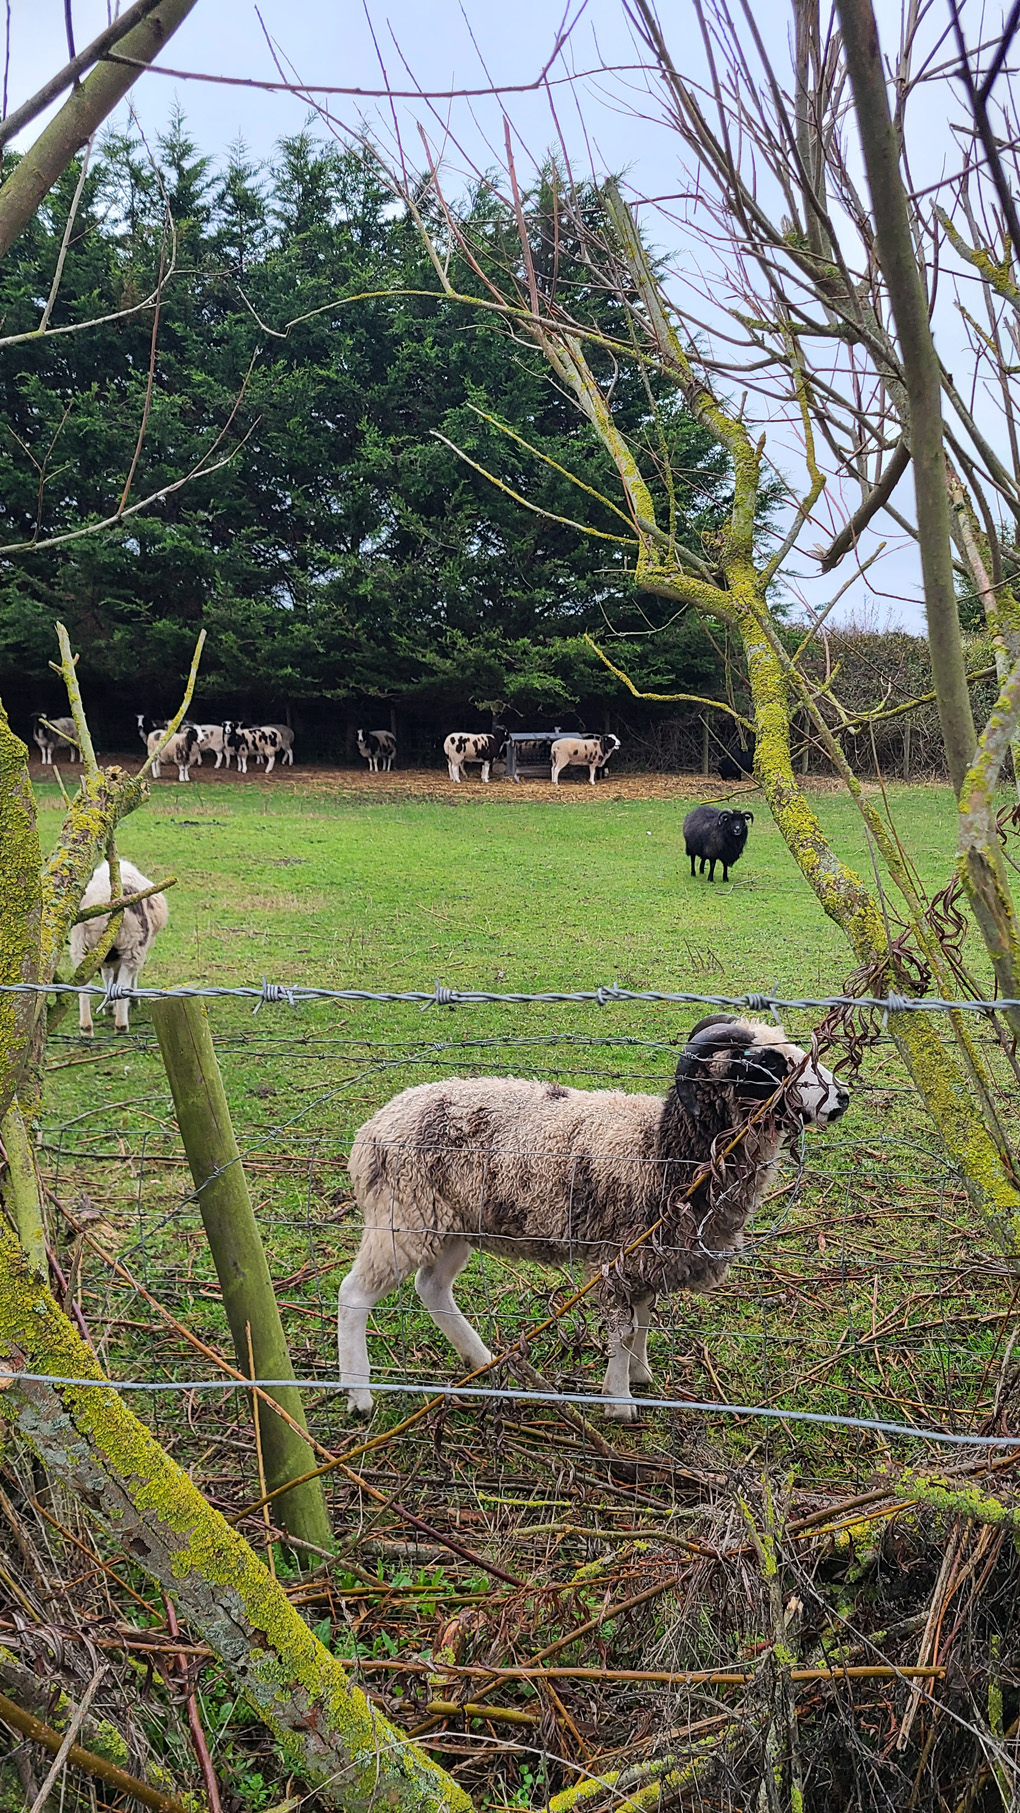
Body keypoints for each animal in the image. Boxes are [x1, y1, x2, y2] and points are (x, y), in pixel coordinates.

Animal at [69, 859, 169, 1036]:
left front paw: (109, 1006)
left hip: (80, 946)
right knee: (123, 982)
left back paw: (86, 1027)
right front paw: (131, 1001)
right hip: (133, 946)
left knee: (84, 987)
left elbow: (107, 976)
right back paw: (122, 1025)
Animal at [337, 1014, 848, 1421]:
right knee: (354, 1295)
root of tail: (371, 1130)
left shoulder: (648, 1258)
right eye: (766, 1065)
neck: (662, 1150)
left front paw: (640, 1374)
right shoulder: (615, 1256)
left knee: (432, 1287)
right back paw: (359, 1396)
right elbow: (622, 1331)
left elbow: (644, 1319)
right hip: (402, 1217)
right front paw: (619, 1402)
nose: (840, 1098)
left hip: (451, 1225)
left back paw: (482, 1361)